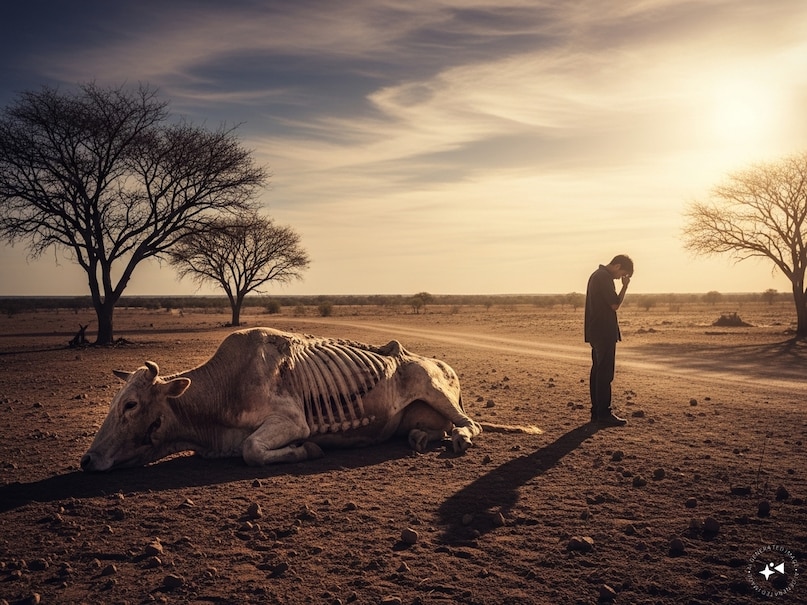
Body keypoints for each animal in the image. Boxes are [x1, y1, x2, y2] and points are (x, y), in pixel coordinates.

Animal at [80, 327, 485, 471]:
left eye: (131, 405)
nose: (87, 459)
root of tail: (441, 362)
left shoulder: (291, 421)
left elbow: (252, 450)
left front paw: (308, 450)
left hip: (434, 387)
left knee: (471, 424)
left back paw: (459, 439)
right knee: (430, 429)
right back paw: (420, 438)